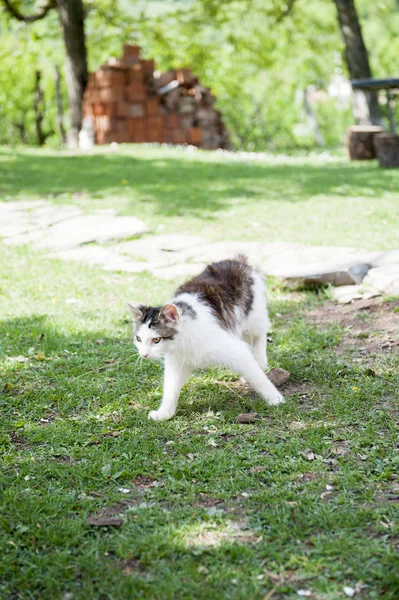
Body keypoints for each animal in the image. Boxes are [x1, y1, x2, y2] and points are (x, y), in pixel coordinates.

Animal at [128, 255, 284, 420]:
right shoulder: (176, 362)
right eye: (138, 339)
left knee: (259, 335)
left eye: (156, 340)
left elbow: (258, 377)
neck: (184, 338)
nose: (144, 355)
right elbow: (170, 388)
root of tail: (237, 260)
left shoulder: (235, 350)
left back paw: (260, 362)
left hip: (254, 316)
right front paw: (164, 413)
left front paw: (275, 399)